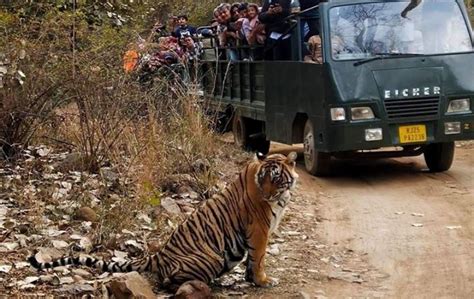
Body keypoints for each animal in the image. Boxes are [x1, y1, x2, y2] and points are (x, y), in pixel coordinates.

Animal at [28, 152, 300, 290]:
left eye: (276, 178)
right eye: (264, 179)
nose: (267, 195)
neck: (281, 195)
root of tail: (158, 255)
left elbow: (253, 260)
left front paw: (251, 279)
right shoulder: (259, 229)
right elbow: (259, 257)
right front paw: (263, 280)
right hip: (212, 258)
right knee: (169, 280)